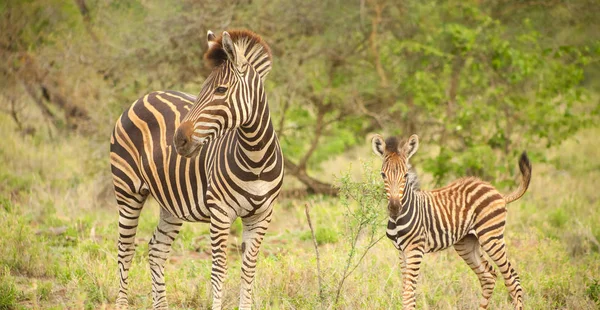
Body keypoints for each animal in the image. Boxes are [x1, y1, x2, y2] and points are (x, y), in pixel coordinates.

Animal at [110, 29, 284, 310]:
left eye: (221, 90)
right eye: (202, 88)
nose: (178, 140)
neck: (255, 159)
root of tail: (145, 96)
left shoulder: (262, 216)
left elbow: (248, 270)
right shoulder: (221, 212)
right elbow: (219, 270)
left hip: (170, 202)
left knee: (156, 249)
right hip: (127, 190)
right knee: (126, 250)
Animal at [372, 134, 532, 310]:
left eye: (406, 175)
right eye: (383, 175)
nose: (394, 207)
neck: (399, 218)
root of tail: (497, 192)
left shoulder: (415, 249)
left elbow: (408, 294)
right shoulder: (401, 251)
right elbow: (405, 291)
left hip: (491, 237)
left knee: (512, 279)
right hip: (467, 243)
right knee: (488, 276)